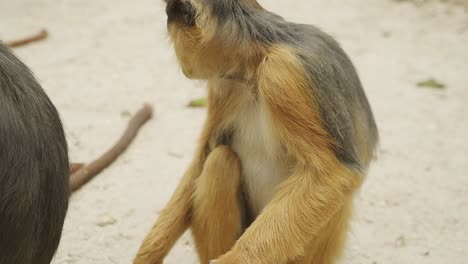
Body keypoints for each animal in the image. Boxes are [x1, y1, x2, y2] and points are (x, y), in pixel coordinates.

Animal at [133, 0, 378, 264]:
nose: (183, 64)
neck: (255, 65)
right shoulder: (226, 86)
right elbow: (203, 156)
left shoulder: (282, 76)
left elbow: (333, 174)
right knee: (219, 159)